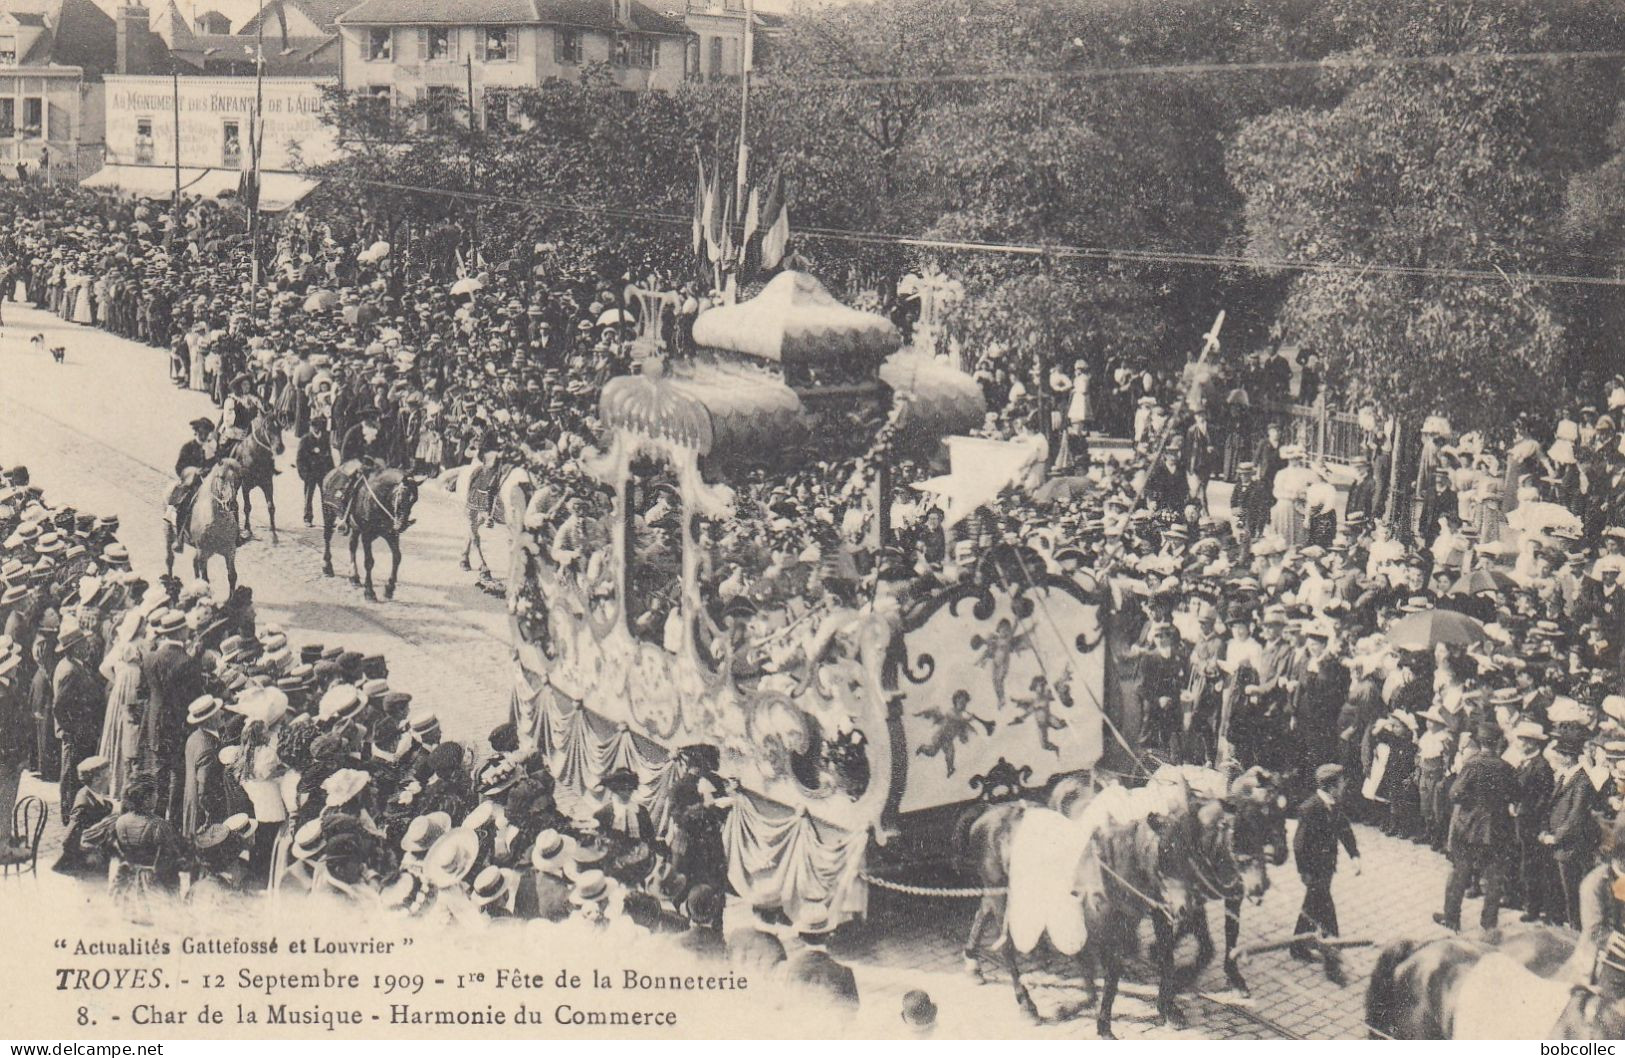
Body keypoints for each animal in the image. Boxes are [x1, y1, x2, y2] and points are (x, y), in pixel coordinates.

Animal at [165, 461, 240, 601]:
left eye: (240, 478)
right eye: (221, 477)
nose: (230, 504)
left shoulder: (230, 551)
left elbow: (232, 576)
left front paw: (231, 601)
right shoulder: (203, 552)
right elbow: (205, 580)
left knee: (194, 563)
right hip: (168, 532)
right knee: (170, 560)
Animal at [229, 409, 286, 546]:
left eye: (281, 427)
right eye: (267, 427)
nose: (279, 448)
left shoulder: (268, 484)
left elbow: (271, 507)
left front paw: (274, 535)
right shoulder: (245, 485)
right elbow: (247, 507)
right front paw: (247, 529)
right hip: (235, 482)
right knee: (234, 503)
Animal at [316, 464, 419, 604]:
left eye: (414, 500)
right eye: (401, 497)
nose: (401, 525)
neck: (378, 499)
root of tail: (333, 472)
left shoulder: (391, 535)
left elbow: (397, 557)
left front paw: (389, 588)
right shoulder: (367, 536)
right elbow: (369, 562)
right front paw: (369, 592)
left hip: (355, 527)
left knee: (352, 546)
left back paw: (354, 577)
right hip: (328, 512)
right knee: (327, 537)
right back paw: (327, 567)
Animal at [955, 773, 1215, 1040]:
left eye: (1193, 848)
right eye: (1163, 852)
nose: (1187, 906)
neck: (1110, 867)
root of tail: (987, 812)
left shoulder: (1143, 915)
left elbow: (1160, 958)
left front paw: (1167, 1009)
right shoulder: (1098, 925)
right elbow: (1105, 971)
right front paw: (1097, 1020)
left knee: (984, 909)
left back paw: (973, 963)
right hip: (1001, 894)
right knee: (1006, 947)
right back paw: (1027, 1005)